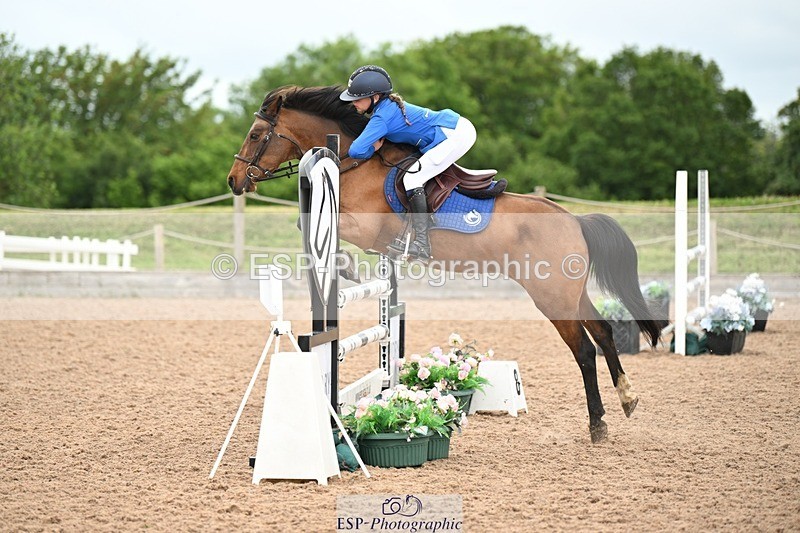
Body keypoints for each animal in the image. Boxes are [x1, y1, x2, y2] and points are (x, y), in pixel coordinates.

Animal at [226, 85, 667, 443]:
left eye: (255, 134)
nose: (234, 180)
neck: (355, 163)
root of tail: (574, 220)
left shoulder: (364, 227)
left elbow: (309, 224)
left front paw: (347, 266)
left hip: (552, 299)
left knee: (585, 351)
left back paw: (597, 424)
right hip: (571, 294)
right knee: (605, 333)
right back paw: (627, 399)